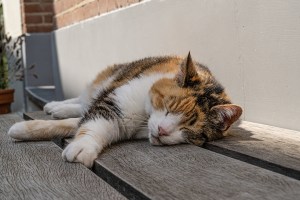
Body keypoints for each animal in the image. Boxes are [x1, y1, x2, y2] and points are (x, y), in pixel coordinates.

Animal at [7, 52, 243, 167]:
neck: (143, 117)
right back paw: (56, 105)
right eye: (168, 107)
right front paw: (82, 146)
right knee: (83, 100)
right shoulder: (112, 104)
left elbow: (73, 124)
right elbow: (91, 122)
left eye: (189, 129)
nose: (163, 131)